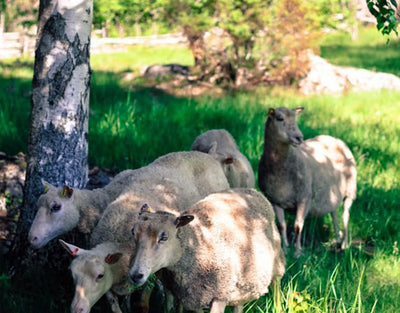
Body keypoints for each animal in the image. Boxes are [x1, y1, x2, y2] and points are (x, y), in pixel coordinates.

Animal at [62, 151, 231, 312]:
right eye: (72, 276)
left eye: (99, 275)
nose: (77, 309)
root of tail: (206, 155)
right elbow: (114, 305)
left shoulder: (154, 272)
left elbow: (144, 303)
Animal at [130, 188, 286, 312]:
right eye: (133, 232)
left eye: (164, 237)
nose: (135, 275)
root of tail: (252, 191)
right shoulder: (194, 300)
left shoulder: (219, 295)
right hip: (240, 287)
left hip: (276, 261)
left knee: (277, 286)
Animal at [258, 106, 358, 255]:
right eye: (280, 118)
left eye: (296, 119)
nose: (299, 137)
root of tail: (335, 139)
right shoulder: (275, 200)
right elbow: (282, 225)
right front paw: (285, 248)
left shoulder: (304, 198)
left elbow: (298, 226)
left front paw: (297, 252)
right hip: (332, 194)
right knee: (334, 214)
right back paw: (337, 241)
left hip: (350, 191)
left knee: (345, 215)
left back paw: (345, 244)